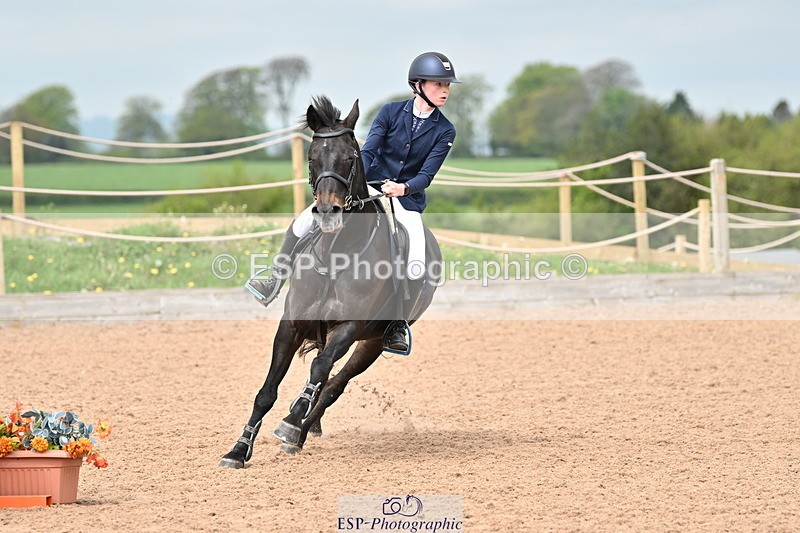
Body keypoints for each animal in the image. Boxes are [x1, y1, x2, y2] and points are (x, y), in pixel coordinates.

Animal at [219, 95, 442, 467]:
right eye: (312, 158)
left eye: (351, 157)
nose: (327, 213)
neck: (337, 252)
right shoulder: (291, 324)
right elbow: (267, 391)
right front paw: (238, 450)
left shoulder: (349, 327)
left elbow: (320, 371)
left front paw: (293, 419)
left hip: (372, 344)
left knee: (333, 384)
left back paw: (297, 431)